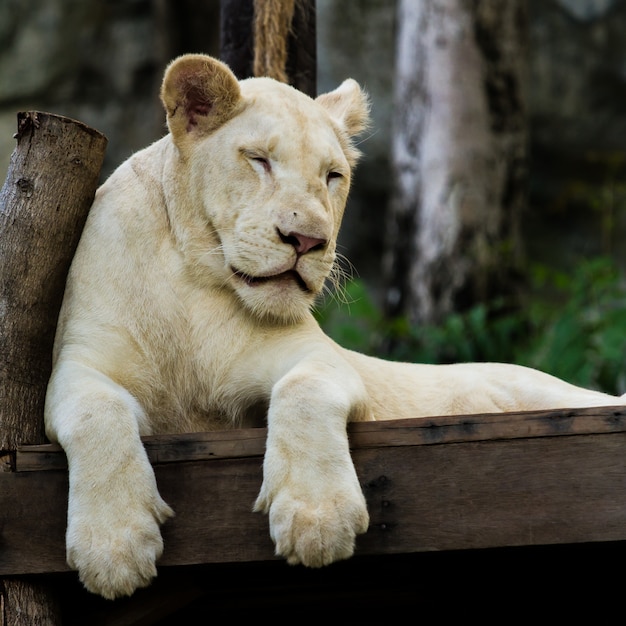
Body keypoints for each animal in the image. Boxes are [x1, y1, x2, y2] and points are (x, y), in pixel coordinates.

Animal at [45, 56, 624, 596]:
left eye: (332, 176)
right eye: (259, 160)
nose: (307, 240)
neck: (194, 279)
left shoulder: (321, 358)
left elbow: (303, 392)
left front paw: (316, 518)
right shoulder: (77, 364)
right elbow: (97, 413)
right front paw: (113, 547)